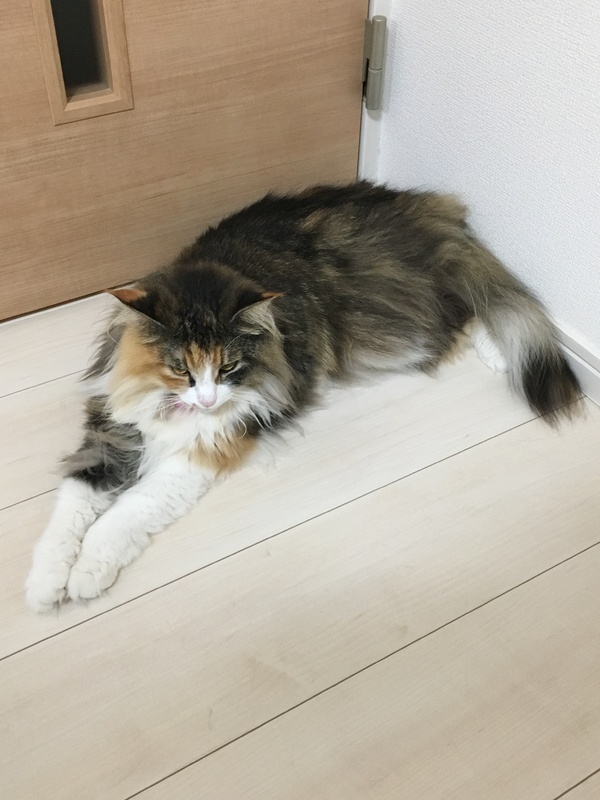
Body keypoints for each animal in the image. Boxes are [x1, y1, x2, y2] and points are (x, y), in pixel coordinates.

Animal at [26, 181, 581, 612]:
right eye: (181, 369)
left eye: (227, 368)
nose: (206, 401)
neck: (171, 407)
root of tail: (425, 208)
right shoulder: (110, 430)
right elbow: (72, 506)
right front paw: (47, 583)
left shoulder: (213, 444)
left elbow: (126, 511)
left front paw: (87, 574)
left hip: (393, 330)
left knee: (472, 309)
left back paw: (499, 355)